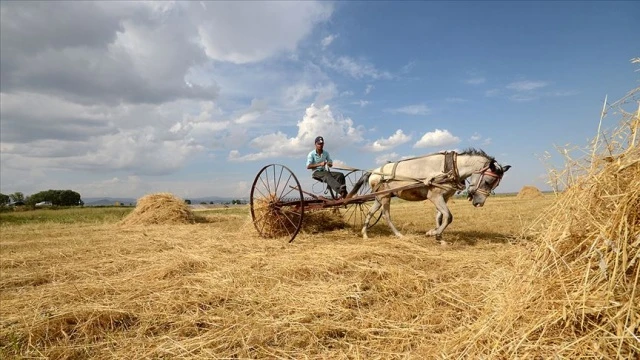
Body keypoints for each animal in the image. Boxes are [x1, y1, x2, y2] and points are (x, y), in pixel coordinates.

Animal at [362, 149, 512, 242]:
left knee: (370, 212)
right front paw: (433, 233)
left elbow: (440, 217)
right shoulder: (435, 196)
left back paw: (365, 234)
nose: (479, 203)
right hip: (385, 197)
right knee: (386, 215)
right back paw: (399, 235)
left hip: (379, 198)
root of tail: (374, 172)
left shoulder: (444, 198)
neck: (451, 168)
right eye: (488, 181)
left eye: (495, 185)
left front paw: (439, 237)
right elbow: (449, 216)